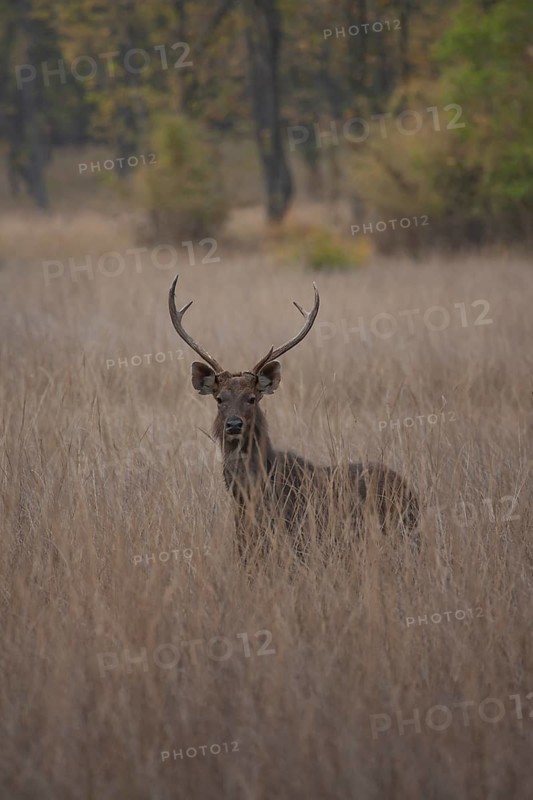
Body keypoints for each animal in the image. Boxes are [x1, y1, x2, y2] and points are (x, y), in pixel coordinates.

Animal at [169, 275, 419, 563]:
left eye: (252, 398)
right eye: (219, 399)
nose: (233, 424)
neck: (252, 497)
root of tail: (411, 491)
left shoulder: (301, 537)